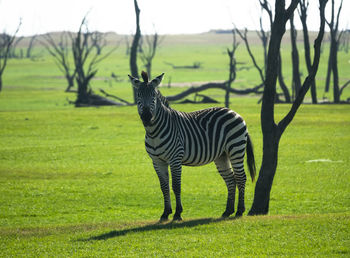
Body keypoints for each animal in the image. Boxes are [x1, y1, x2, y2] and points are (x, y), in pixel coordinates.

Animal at [127, 71, 256, 222]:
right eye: (138, 95)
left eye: (153, 95)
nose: (147, 117)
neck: (153, 132)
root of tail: (234, 112)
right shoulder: (157, 161)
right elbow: (164, 187)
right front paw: (165, 213)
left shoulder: (175, 159)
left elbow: (176, 186)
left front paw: (177, 214)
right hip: (222, 155)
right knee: (231, 179)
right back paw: (227, 211)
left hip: (236, 149)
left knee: (241, 177)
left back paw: (240, 211)